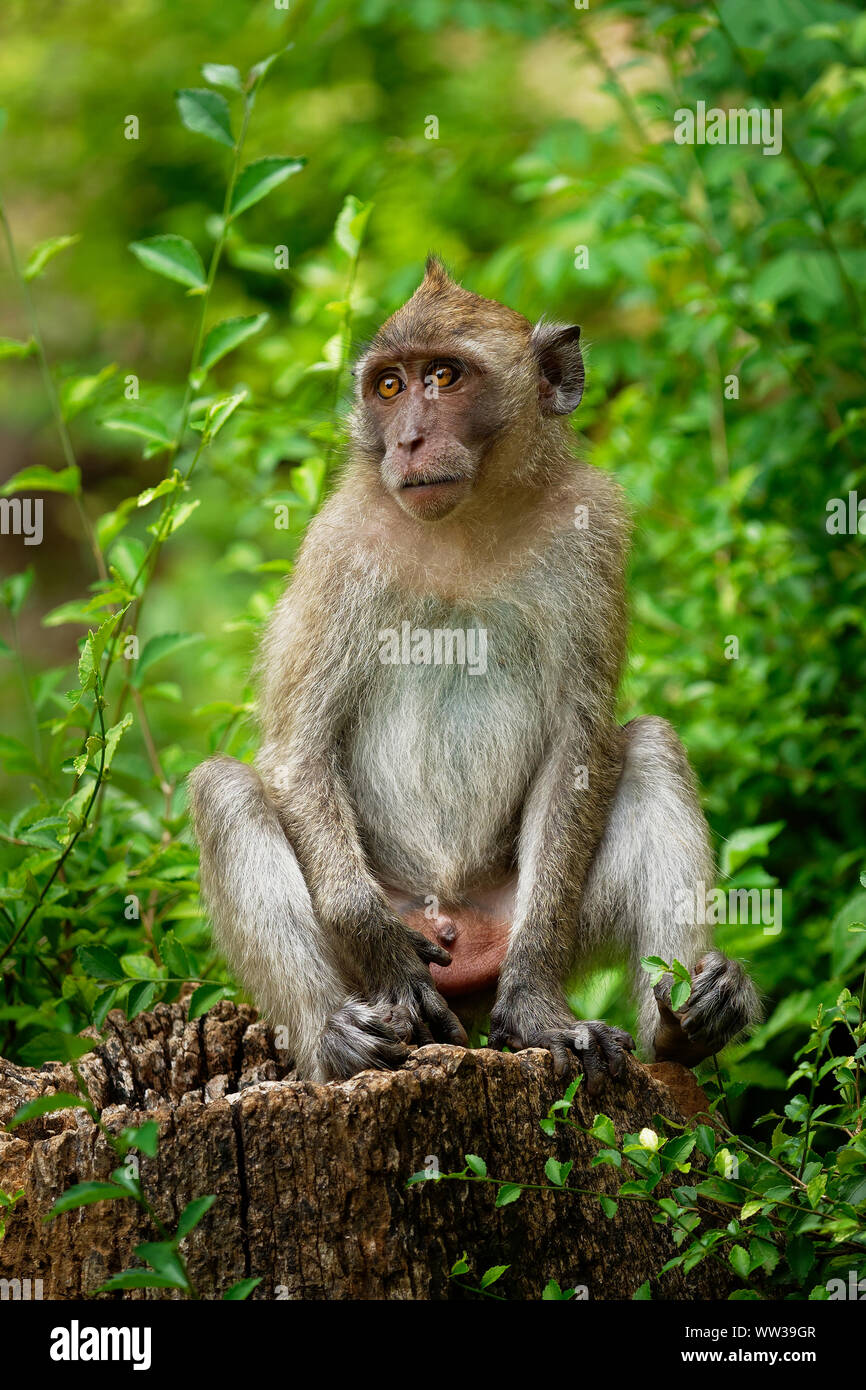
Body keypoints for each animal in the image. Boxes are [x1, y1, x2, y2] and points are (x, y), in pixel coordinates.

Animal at [189, 256, 760, 1092]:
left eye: (445, 376)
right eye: (389, 385)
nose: (408, 439)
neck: (466, 523)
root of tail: (458, 930)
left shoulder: (592, 530)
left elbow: (580, 747)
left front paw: (538, 1009)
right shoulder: (336, 550)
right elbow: (298, 754)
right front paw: (387, 959)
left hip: (517, 914)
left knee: (652, 746)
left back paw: (682, 1024)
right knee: (223, 789)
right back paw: (333, 1040)